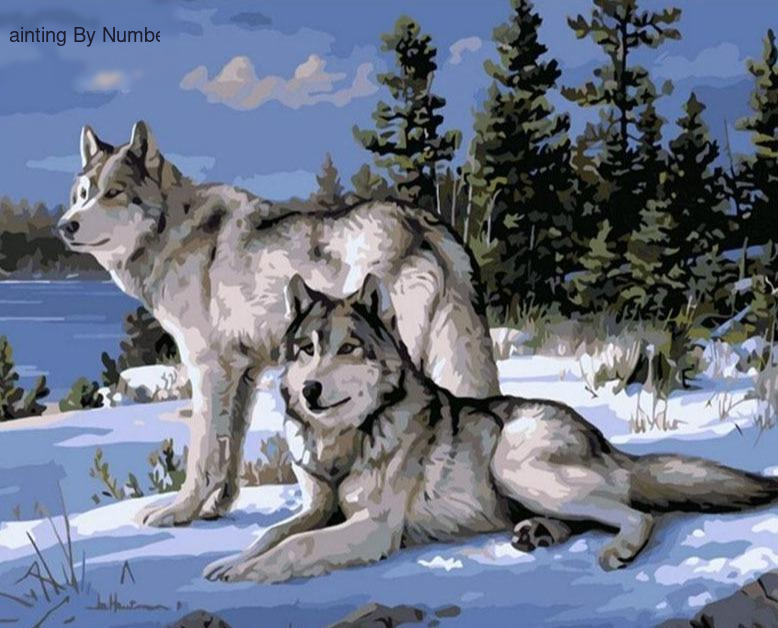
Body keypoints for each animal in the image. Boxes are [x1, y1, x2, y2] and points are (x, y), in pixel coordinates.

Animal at [57, 121, 499, 527]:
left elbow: (203, 455)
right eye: (81, 195)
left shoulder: (208, 371)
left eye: (112, 193)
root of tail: (422, 222)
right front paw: (216, 509)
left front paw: (178, 512)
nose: (65, 225)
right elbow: (231, 451)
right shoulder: (244, 374)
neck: (173, 234)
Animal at [203, 274, 778, 582]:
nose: (310, 391)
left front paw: (245, 572)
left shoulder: (373, 527)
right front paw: (228, 561)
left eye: (348, 348)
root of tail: (604, 441)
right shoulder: (317, 508)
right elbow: (273, 533)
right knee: (592, 516)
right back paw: (538, 533)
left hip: (514, 465)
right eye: (306, 350)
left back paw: (616, 550)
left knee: (637, 515)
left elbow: (296, 547)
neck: (344, 442)